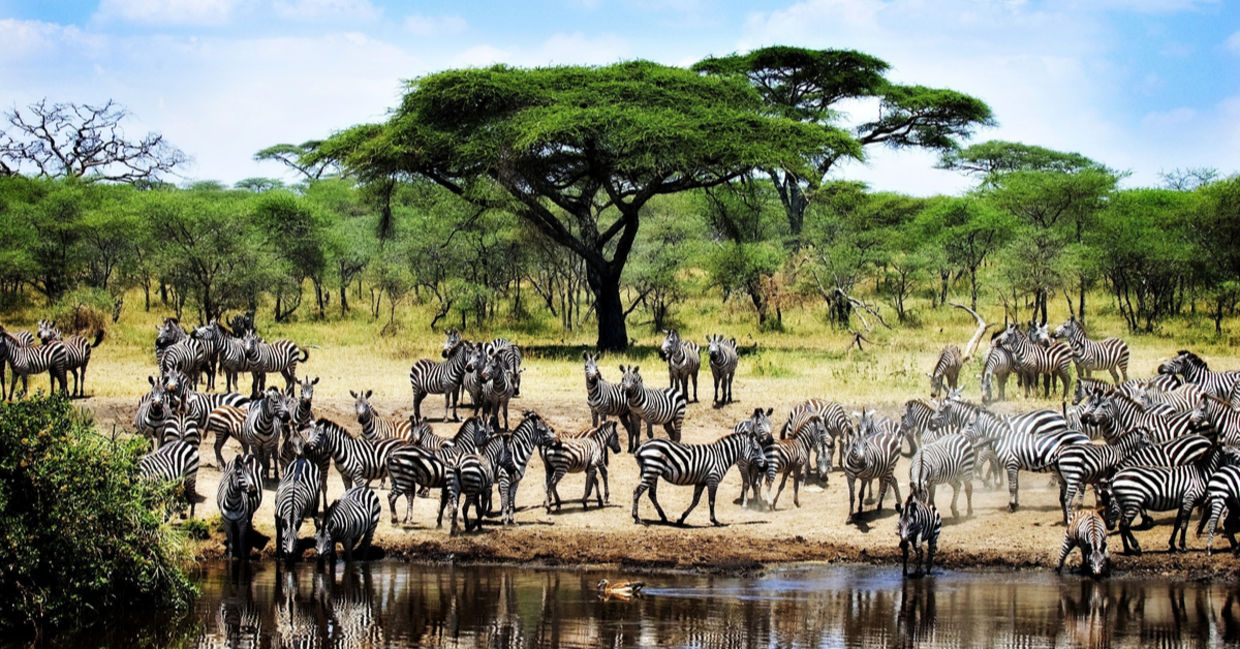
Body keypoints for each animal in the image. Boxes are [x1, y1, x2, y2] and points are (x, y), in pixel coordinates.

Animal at [631, 414, 769, 526]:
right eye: (756, 449)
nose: (767, 465)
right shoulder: (713, 479)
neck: (721, 456)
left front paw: (681, 519)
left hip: (653, 473)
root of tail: (643, 446)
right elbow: (711, 501)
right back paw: (636, 518)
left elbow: (695, 501)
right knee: (637, 491)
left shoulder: (701, 481)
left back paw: (663, 517)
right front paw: (714, 521)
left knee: (651, 494)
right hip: (651, 471)